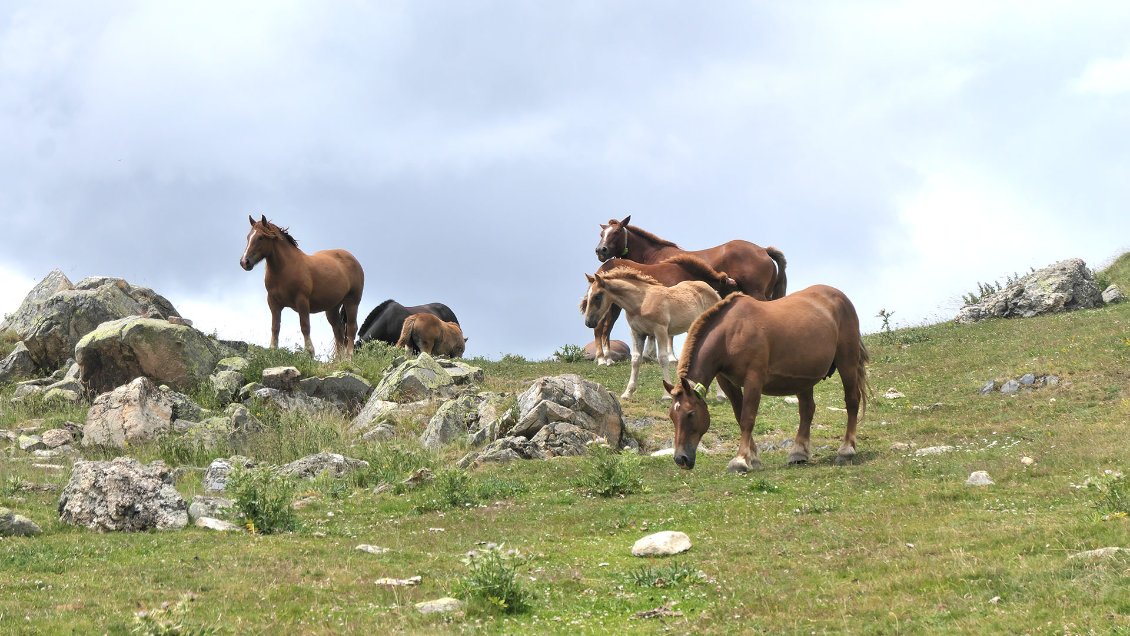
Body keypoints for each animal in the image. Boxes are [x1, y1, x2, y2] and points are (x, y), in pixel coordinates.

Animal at [241, 216, 366, 361]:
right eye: (248, 236)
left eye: (261, 237)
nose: (244, 262)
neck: (284, 269)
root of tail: (353, 259)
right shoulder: (273, 303)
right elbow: (275, 327)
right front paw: (273, 350)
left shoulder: (302, 301)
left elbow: (305, 326)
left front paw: (309, 352)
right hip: (332, 307)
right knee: (338, 330)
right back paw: (338, 360)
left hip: (352, 302)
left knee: (351, 328)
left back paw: (348, 357)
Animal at [583, 253, 741, 366]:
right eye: (730, 287)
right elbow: (670, 336)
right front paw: (671, 357)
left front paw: (650, 355)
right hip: (611, 308)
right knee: (600, 329)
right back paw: (602, 359)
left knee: (605, 330)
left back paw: (608, 359)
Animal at [587, 267, 718, 397]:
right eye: (588, 296)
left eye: (597, 296)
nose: (588, 322)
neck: (642, 301)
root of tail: (714, 291)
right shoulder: (636, 332)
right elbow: (635, 360)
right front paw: (628, 392)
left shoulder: (660, 330)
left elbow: (663, 358)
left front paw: (666, 395)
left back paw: (719, 394)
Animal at [659, 286, 867, 472]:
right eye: (672, 416)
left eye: (690, 413)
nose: (681, 459)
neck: (730, 334)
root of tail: (840, 297)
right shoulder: (728, 383)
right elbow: (739, 416)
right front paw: (753, 458)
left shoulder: (754, 380)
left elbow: (747, 418)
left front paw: (740, 460)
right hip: (804, 377)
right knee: (807, 410)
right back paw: (799, 453)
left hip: (847, 363)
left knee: (852, 401)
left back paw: (846, 450)